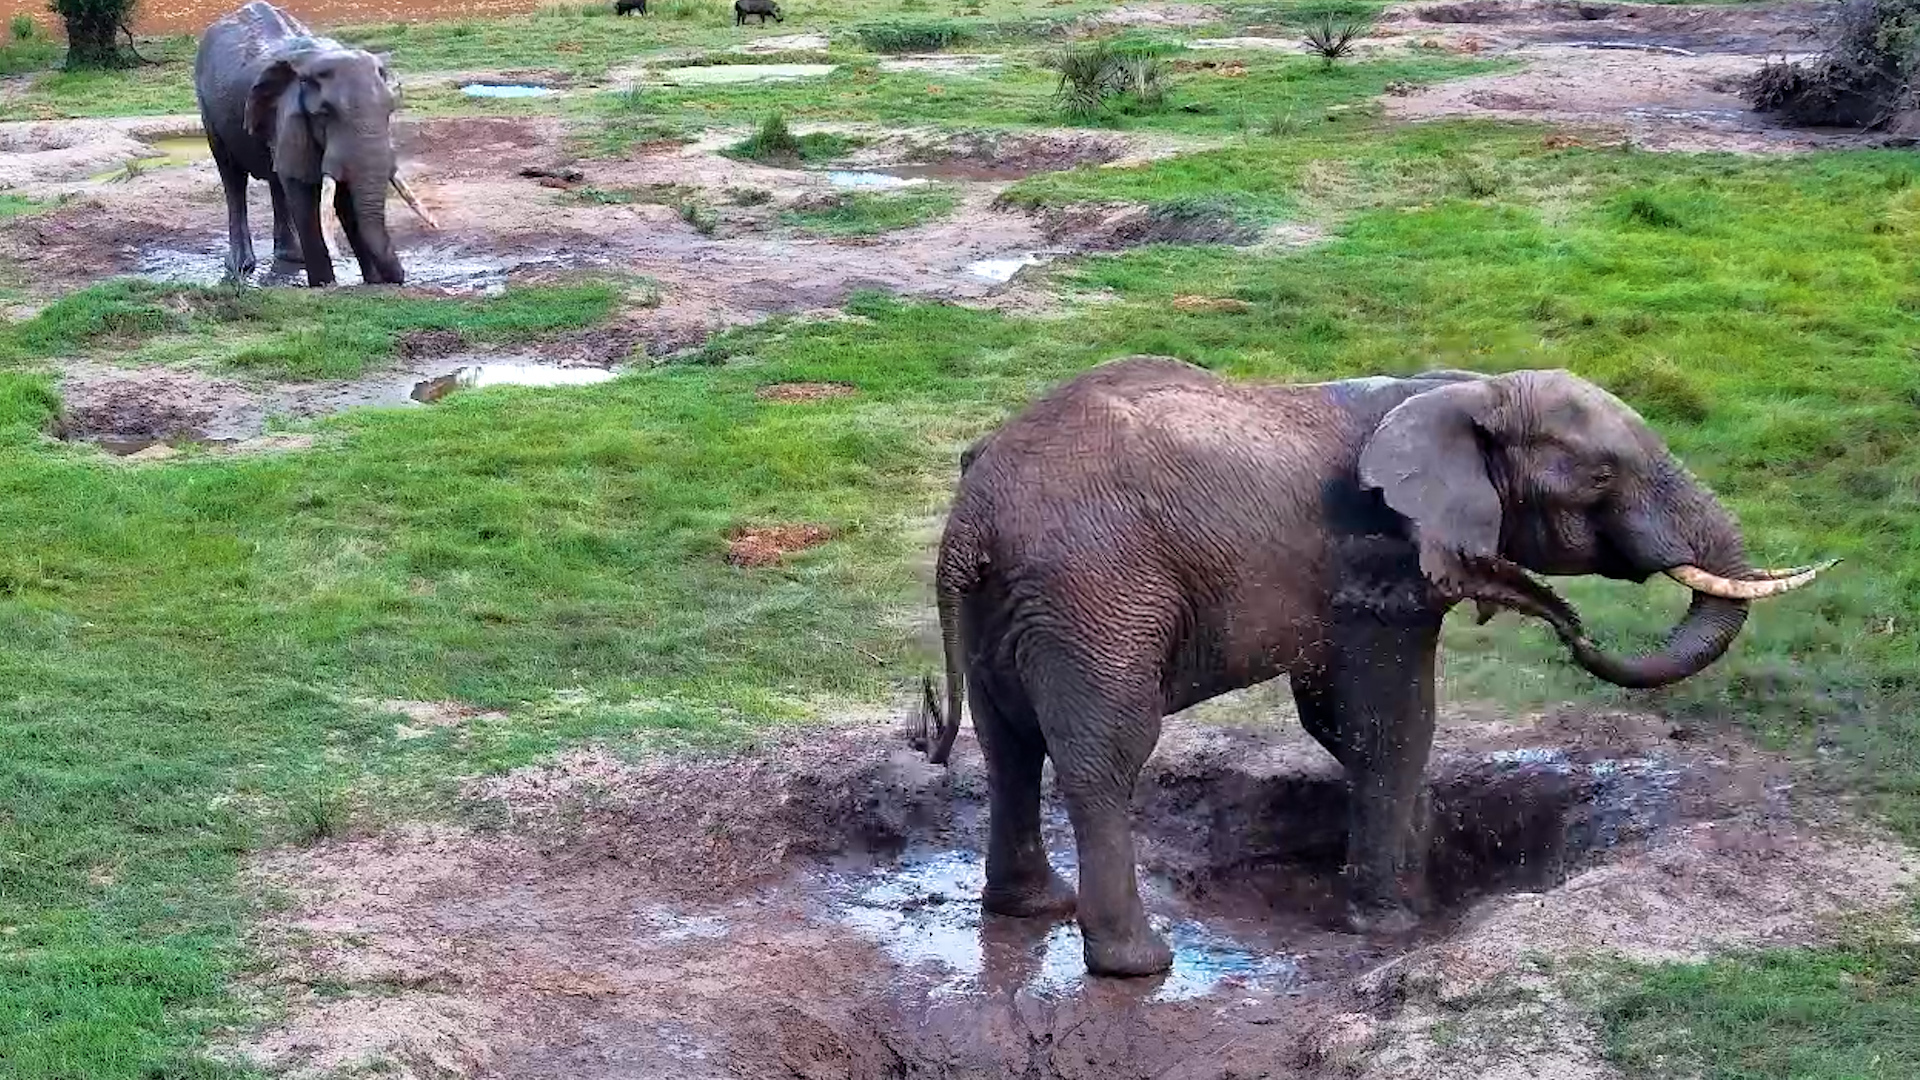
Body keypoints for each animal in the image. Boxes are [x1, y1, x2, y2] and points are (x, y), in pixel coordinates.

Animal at [193, 1, 434, 287]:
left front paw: (372, 282)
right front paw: (324, 285)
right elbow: (305, 194)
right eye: (324, 114)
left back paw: (291, 257)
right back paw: (241, 267)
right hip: (207, 108)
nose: (398, 278)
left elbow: (343, 196)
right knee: (232, 176)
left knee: (276, 177)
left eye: (390, 111)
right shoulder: (290, 113)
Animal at [912, 356, 1829, 978]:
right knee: (1105, 755)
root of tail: (973, 515)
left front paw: (1421, 882)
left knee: (1008, 743)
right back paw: (1138, 964)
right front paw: (1390, 928)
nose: (1570, 626)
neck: (1470, 388)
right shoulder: (1376, 558)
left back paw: (1030, 907)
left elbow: (1345, 723)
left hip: (1010, 604)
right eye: (1602, 475)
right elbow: (1389, 719)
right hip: (1096, 594)